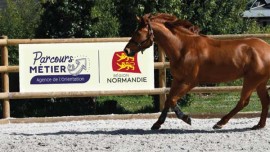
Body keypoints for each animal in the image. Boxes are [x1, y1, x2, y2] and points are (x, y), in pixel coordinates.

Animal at [123, 13, 268, 130]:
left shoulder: (189, 82)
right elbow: (168, 100)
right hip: (260, 82)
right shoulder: (177, 80)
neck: (183, 48)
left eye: (137, 33)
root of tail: (267, 47)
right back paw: (259, 125)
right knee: (265, 101)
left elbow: (172, 100)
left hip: (251, 80)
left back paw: (220, 123)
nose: (126, 50)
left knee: (243, 102)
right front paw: (157, 124)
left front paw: (186, 118)